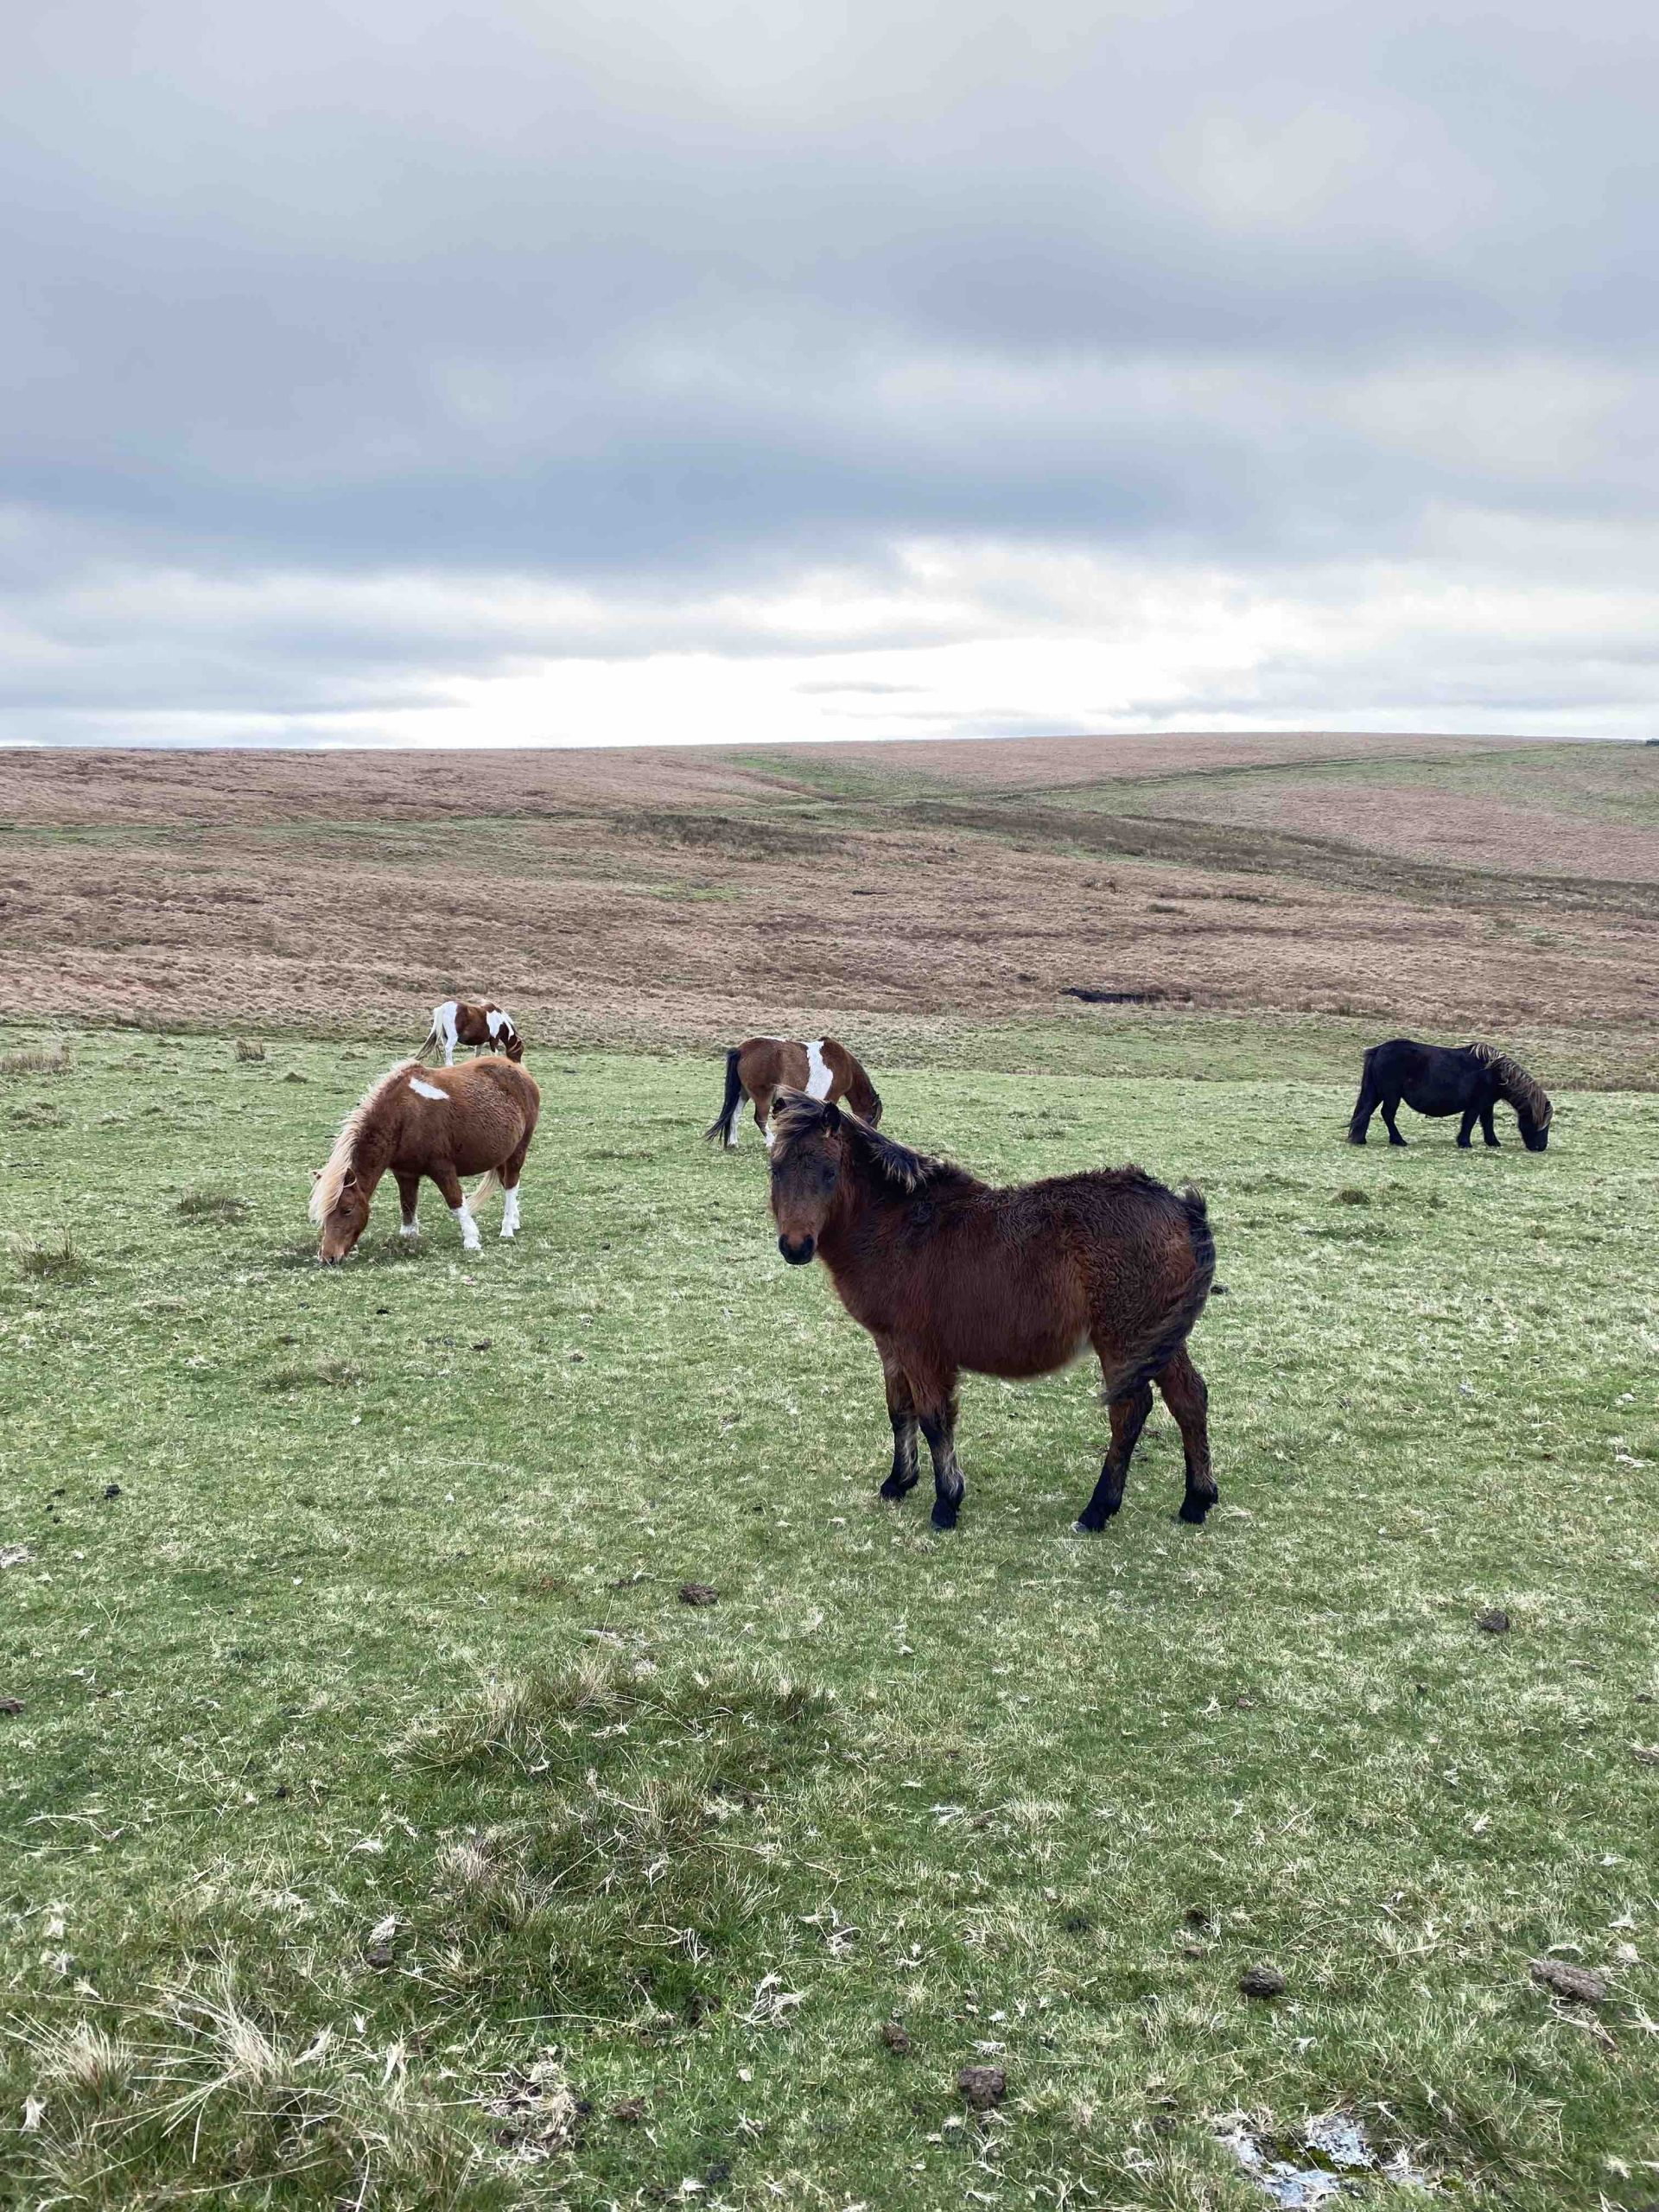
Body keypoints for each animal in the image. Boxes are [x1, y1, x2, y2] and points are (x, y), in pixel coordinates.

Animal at [310, 1056, 540, 1263]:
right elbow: (407, 1204)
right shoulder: (404, 1173)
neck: (404, 1116)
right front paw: (408, 1237)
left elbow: (455, 1201)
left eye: (347, 1210)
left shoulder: (442, 1168)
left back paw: (507, 1228)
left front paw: (471, 1240)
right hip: (502, 1154)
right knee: (509, 1183)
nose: (328, 1257)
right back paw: (515, 1221)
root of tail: (518, 1069)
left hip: (518, 1150)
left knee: (510, 1184)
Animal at [705, 1036, 882, 1150]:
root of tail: (742, 1050)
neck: (845, 1066)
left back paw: (733, 1142)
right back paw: (771, 1142)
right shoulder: (833, 1097)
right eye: (873, 1118)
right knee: (760, 1118)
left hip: (743, 1093)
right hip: (763, 1096)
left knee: (734, 1115)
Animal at [764, 1090, 1216, 1534]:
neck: (898, 1225)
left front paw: (946, 1503)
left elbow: (934, 1420)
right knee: (1189, 1397)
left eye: (829, 1174)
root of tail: (1180, 1209)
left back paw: (1097, 1510)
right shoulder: (889, 1344)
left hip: (1123, 1339)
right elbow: (899, 1410)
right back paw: (1196, 1501)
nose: (795, 1247)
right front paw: (899, 1482)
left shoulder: (919, 1348)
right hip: (1159, 1339)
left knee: (1128, 1412)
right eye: (775, 1171)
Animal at [1348, 1038, 1552, 1151]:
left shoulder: (1487, 1105)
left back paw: (1360, 1139)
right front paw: (1465, 1142)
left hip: (1377, 1093)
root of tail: (1377, 1050)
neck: (1495, 1072)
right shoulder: (1477, 1104)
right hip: (1391, 1095)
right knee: (1387, 1115)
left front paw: (1493, 1142)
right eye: (1543, 1125)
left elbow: (1487, 1123)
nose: (1541, 1147)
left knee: (1366, 1113)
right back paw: (1398, 1140)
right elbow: (1470, 1122)